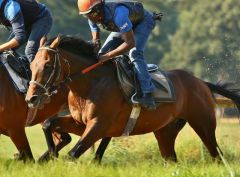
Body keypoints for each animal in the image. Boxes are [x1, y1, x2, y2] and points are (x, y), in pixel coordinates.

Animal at [23, 35, 240, 161]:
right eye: (32, 65)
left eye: (48, 65)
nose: (31, 98)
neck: (90, 84)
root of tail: (201, 82)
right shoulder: (81, 122)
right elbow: (48, 124)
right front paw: (50, 154)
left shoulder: (99, 125)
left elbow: (73, 154)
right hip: (165, 131)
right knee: (171, 158)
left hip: (203, 124)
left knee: (217, 155)